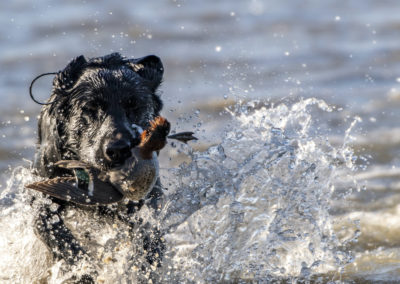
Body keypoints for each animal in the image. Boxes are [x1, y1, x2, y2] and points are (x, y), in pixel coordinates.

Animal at [31, 53, 166, 282]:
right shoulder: (41, 200)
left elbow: (149, 237)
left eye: (133, 105)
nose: (119, 150)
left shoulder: (148, 201)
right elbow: (59, 237)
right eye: (90, 108)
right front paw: (83, 271)